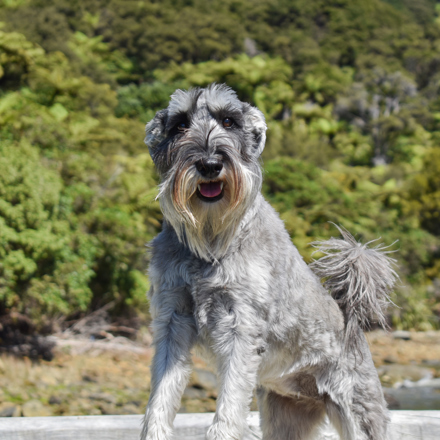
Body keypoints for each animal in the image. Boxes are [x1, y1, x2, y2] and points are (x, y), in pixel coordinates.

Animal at [142, 84, 398, 438]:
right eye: (180, 125)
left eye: (229, 120)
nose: (209, 164)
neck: (209, 242)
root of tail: (352, 321)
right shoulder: (172, 319)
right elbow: (160, 399)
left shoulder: (241, 328)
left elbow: (228, 408)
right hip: (284, 415)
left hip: (358, 411)